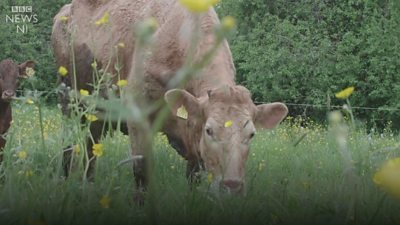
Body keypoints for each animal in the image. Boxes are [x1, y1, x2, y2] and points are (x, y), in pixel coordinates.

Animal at [50, 0, 288, 200]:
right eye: (209, 130)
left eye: (252, 134)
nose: (232, 186)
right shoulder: (137, 114)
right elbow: (141, 171)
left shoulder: (188, 133)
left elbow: (195, 173)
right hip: (68, 100)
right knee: (69, 147)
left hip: (96, 113)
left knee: (91, 147)